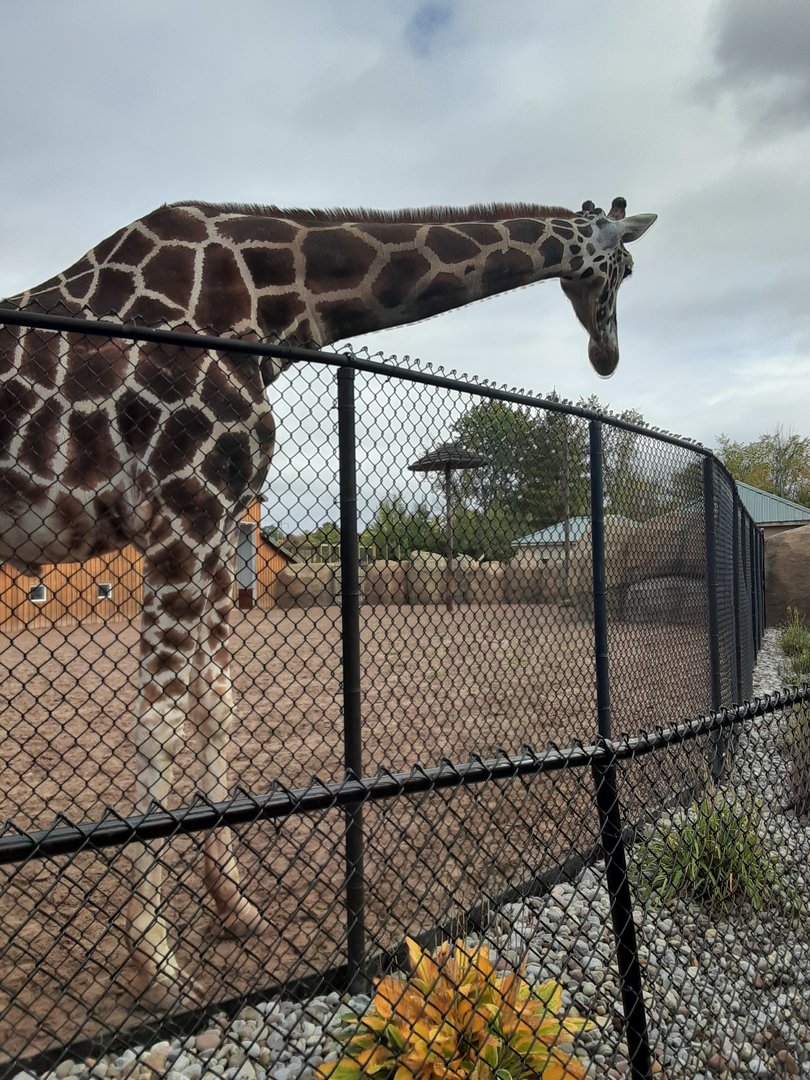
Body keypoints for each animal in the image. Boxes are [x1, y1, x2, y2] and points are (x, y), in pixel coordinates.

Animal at [0, 195, 656, 1007]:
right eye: (625, 268)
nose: (608, 356)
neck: (264, 302)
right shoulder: (185, 507)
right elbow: (161, 722)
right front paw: (155, 960)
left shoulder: (223, 520)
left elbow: (217, 703)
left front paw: (233, 905)